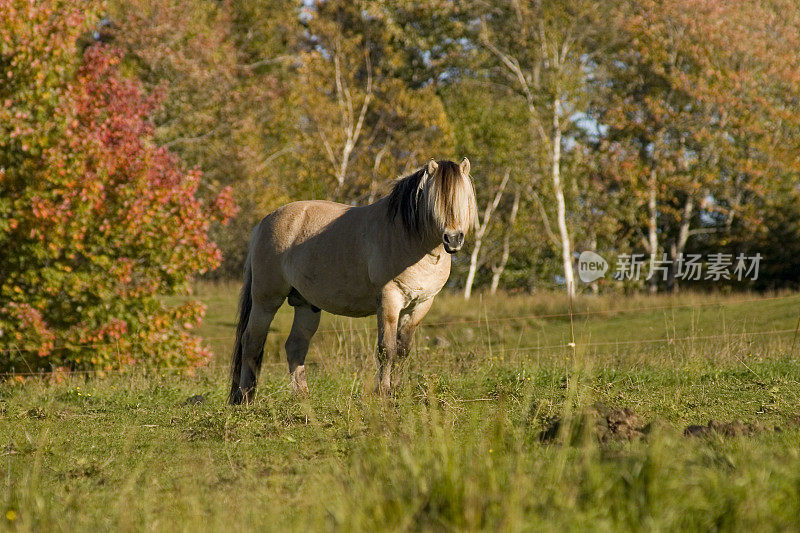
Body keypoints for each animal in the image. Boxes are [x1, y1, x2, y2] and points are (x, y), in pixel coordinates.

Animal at [227, 158, 476, 404]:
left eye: (464, 198)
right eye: (436, 201)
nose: (453, 239)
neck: (410, 239)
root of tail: (264, 222)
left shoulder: (421, 304)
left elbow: (403, 350)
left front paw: (397, 392)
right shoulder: (389, 300)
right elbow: (387, 349)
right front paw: (383, 393)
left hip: (306, 305)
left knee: (295, 346)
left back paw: (302, 397)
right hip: (266, 300)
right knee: (252, 342)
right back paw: (245, 397)